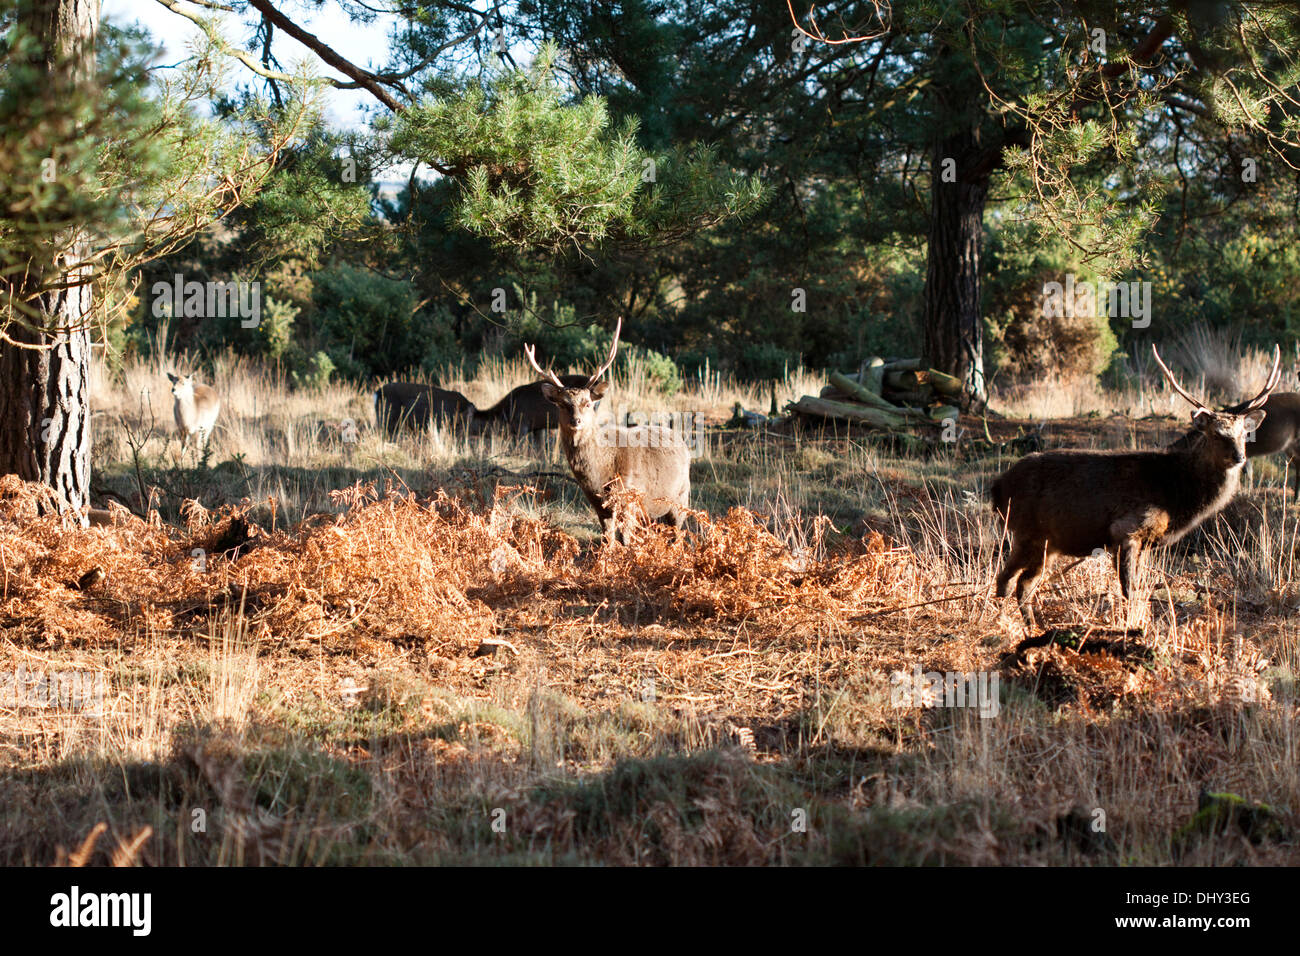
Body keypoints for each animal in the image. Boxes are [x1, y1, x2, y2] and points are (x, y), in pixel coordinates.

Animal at [525, 319, 696, 546]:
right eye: (563, 404)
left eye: (587, 403)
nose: (576, 421)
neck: (599, 477)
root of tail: (683, 443)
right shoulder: (598, 505)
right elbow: (608, 540)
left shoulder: (630, 498)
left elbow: (626, 540)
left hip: (681, 497)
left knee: (678, 534)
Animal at [993, 343, 1279, 629]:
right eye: (1216, 434)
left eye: (1244, 434)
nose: (1239, 457)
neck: (1176, 494)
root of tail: (996, 488)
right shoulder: (1127, 529)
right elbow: (1129, 589)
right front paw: (1134, 625)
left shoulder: (1145, 542)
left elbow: (1139, 587)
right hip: (1028, 531)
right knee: (1006, 580)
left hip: (1048, 543)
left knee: (1023, 583)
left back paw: (1033, 626)